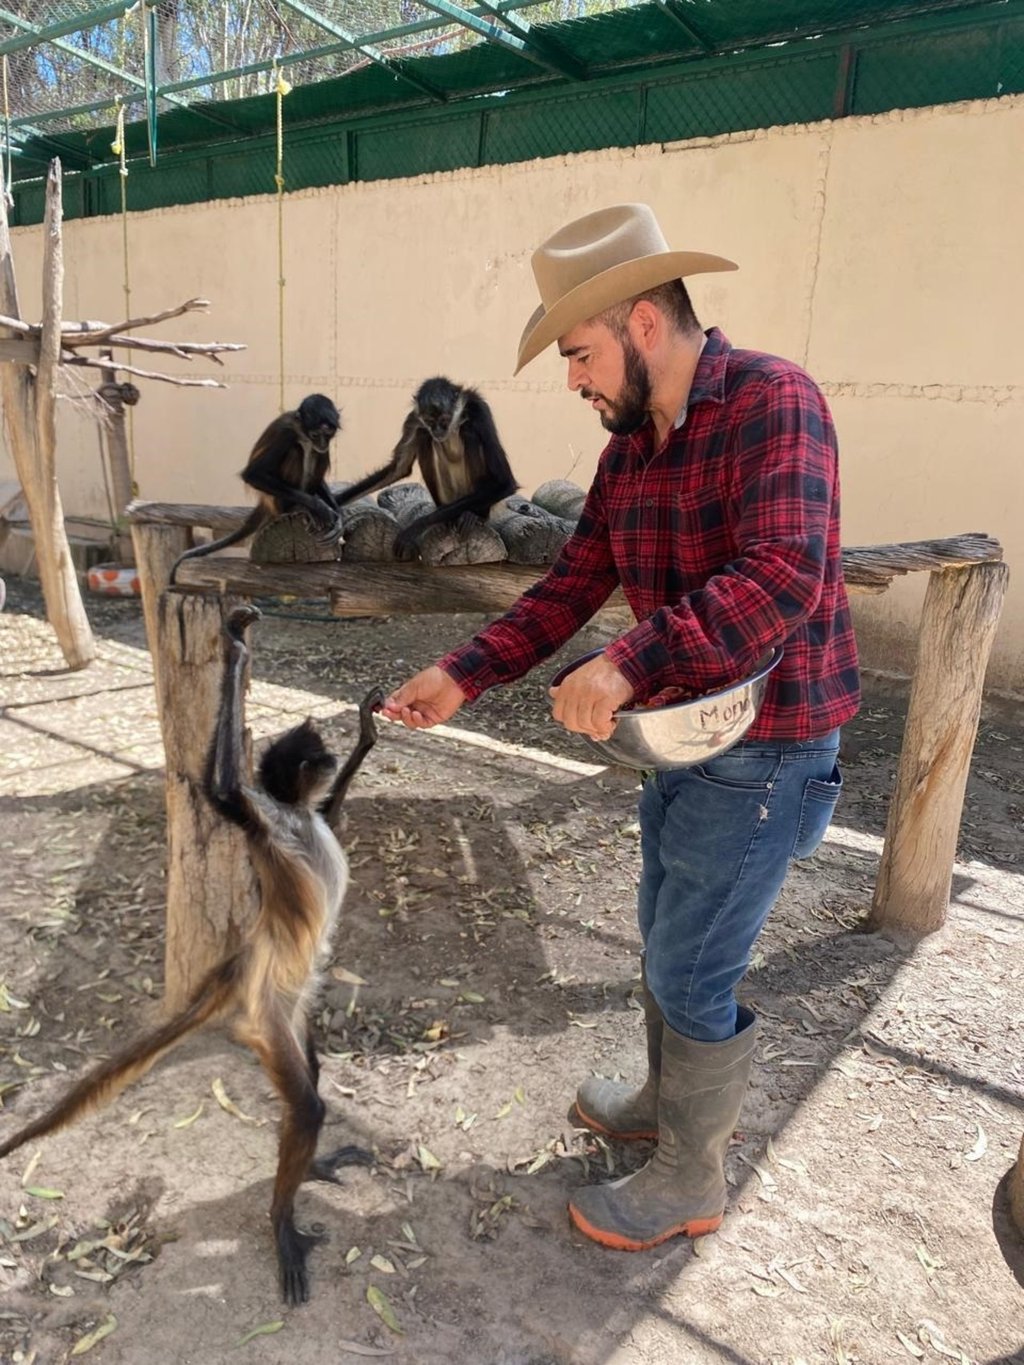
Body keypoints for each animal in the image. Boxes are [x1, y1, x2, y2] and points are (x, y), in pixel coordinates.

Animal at [0, 608, 385, 1310]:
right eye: (314, 755)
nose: (330, 756)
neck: (293, 814)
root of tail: (246, 962)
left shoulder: (301, 815)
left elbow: (332, 812)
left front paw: (369, 731)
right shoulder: (260, 818)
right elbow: (222, 788)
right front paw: (235, 644)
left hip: (290, 1013)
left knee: (310, 1076)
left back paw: (309, 1168)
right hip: (265, 1019)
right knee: (306, 1105)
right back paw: (280, 1219)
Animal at [169, 395, 345, 586]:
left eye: (328, 435)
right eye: (315, 435)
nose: (323, 443)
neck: (302, 433)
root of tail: (265, 502)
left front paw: (338, 519)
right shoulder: (285, 432)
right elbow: (252, 474)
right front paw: (317, 506)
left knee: (317, 454)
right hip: (276, 499)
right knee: (296, 450)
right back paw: (296, 507)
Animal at [338, 376, 521, 556]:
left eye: (444, 421)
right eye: (430, 421)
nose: (437, 431)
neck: (453, 423)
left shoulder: (479, 409)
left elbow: (505, 482)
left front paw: (418, 525)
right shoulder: (414, 419)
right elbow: (398, 469)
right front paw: (334, 502)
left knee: (468, 430)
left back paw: (475, 515)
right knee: (423, 434)